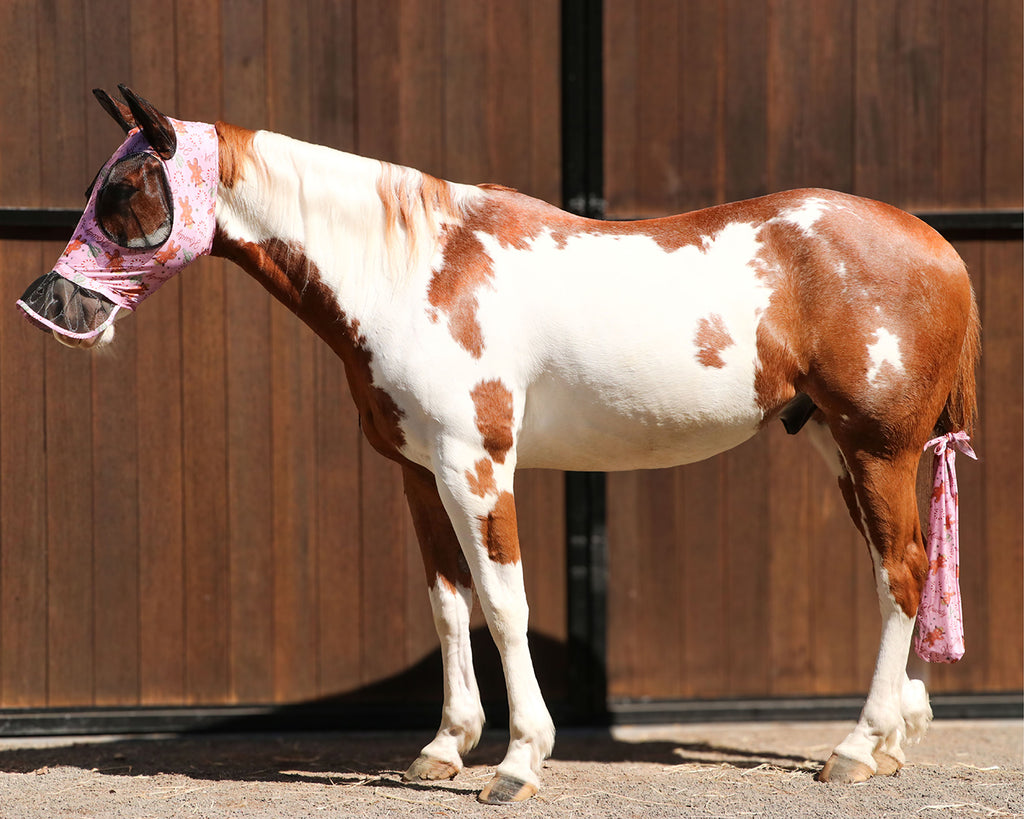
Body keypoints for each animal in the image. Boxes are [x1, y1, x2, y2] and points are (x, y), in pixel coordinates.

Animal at [16, 86, 974, 802]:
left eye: (126, 189)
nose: (48, 306)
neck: (414, 271)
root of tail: (940, 250)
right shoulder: (417, 472)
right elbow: (449, 604)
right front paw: (445, 747)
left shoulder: (476, 467)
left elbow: (504, 604)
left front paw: (517, 762)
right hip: (840, 452)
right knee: (901, 566)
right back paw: (892, 739)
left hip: (878, 449)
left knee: (901, 574)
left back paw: (854, 747)